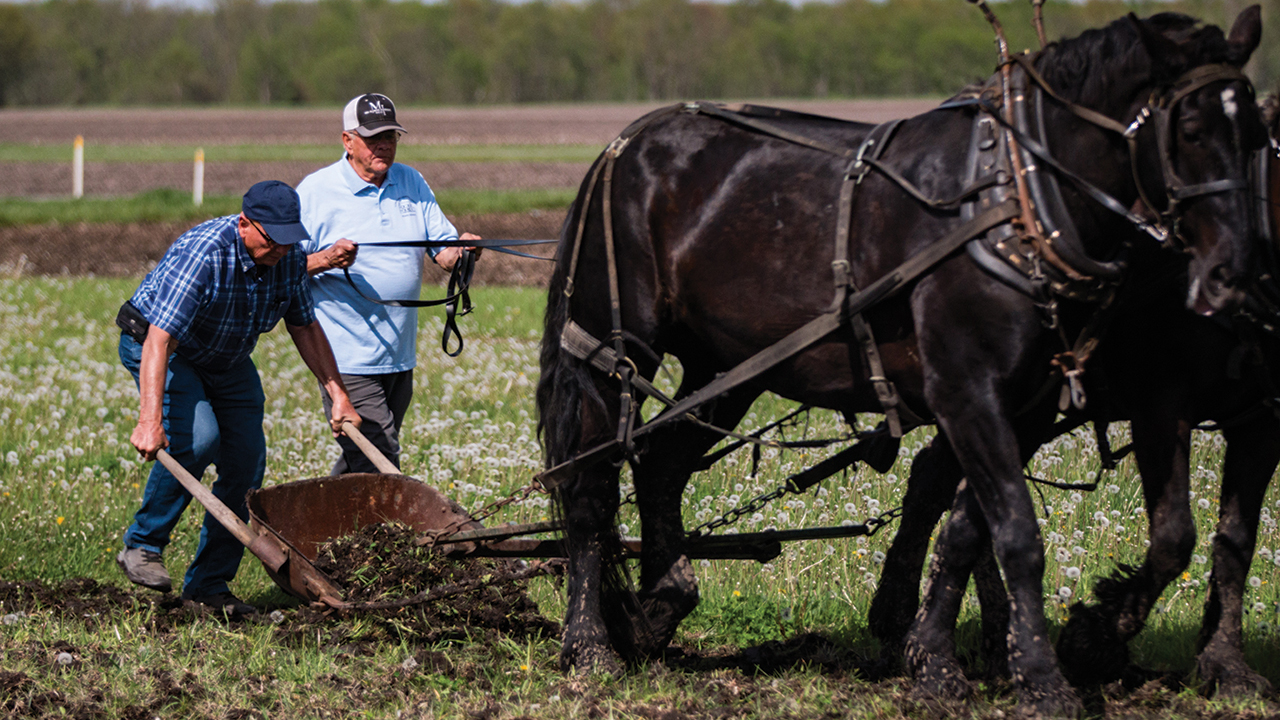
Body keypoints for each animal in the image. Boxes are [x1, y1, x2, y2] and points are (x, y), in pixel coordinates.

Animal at [536, 8, 1264, 715]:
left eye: (1257, 135)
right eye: (1190, 129)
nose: (1233, 274)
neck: (1013, 200)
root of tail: (624, 143)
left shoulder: (1023, 407)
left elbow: (972, 528)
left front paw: (939, 665)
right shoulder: (971, 390)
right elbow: (1018, 535)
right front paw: (1042, 680)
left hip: (727, 366)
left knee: (661, 467)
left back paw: (662, 606)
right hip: (614, 347)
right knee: (591, 488)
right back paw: (590, 646)